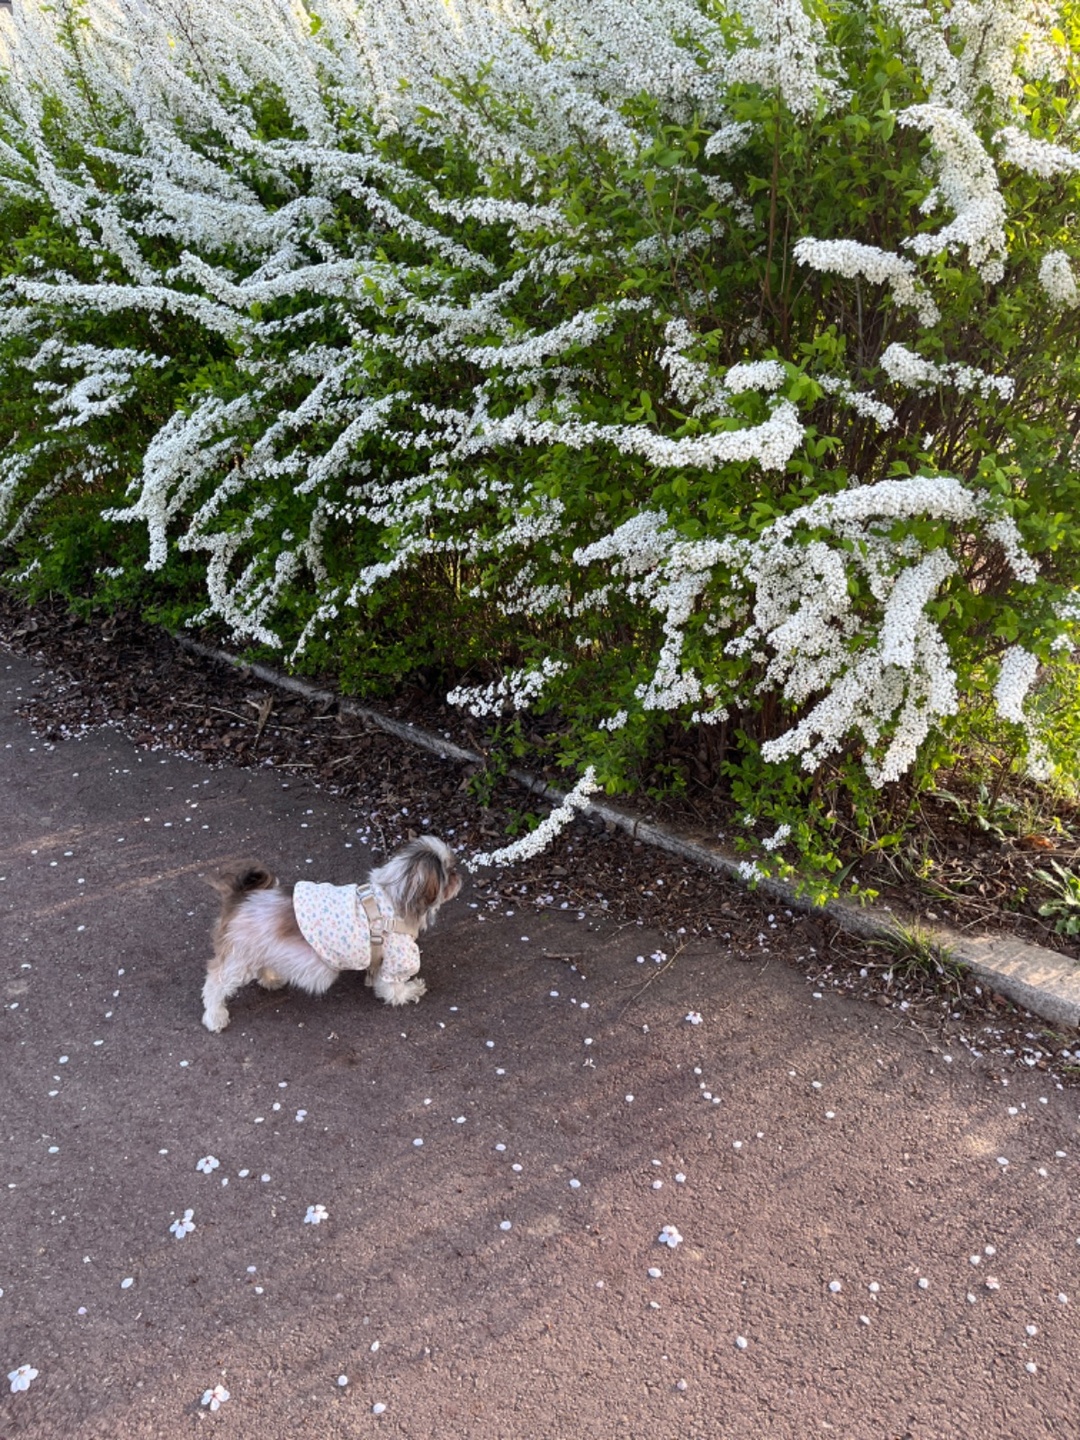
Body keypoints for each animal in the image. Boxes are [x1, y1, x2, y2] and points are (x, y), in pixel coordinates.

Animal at [203, 840, 460, 1031]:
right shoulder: (398, 958)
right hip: (239, 959)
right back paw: (215, 1017)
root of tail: (240, 898)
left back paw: (271, 979)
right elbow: (393, 988)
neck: (392, 896)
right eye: (448, 871)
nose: (458, 874)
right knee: (215, 984)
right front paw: (410, 990)